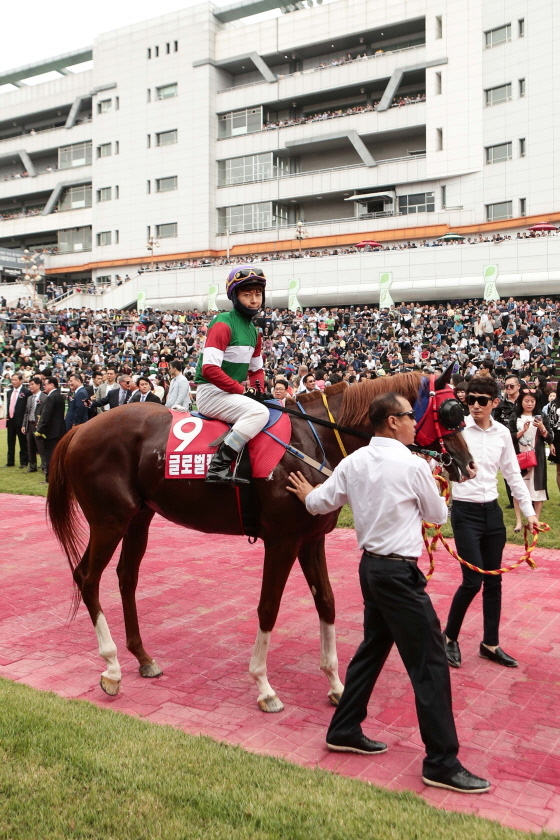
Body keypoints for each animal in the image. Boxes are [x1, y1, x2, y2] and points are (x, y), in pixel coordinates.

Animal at [47, 370, 472, 712]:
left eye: (464, 408)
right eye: (451, 410)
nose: (468, 466)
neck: (314, 440)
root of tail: (81, 429)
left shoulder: (312, 539)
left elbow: (327, 603)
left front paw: (336, 684)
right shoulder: (282, 540)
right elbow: (269, 607)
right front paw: (265, 688)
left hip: (140, 517)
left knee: (126, 577)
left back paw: (142, 657)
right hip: (109, 520)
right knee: (87, 577)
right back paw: (112, 667)